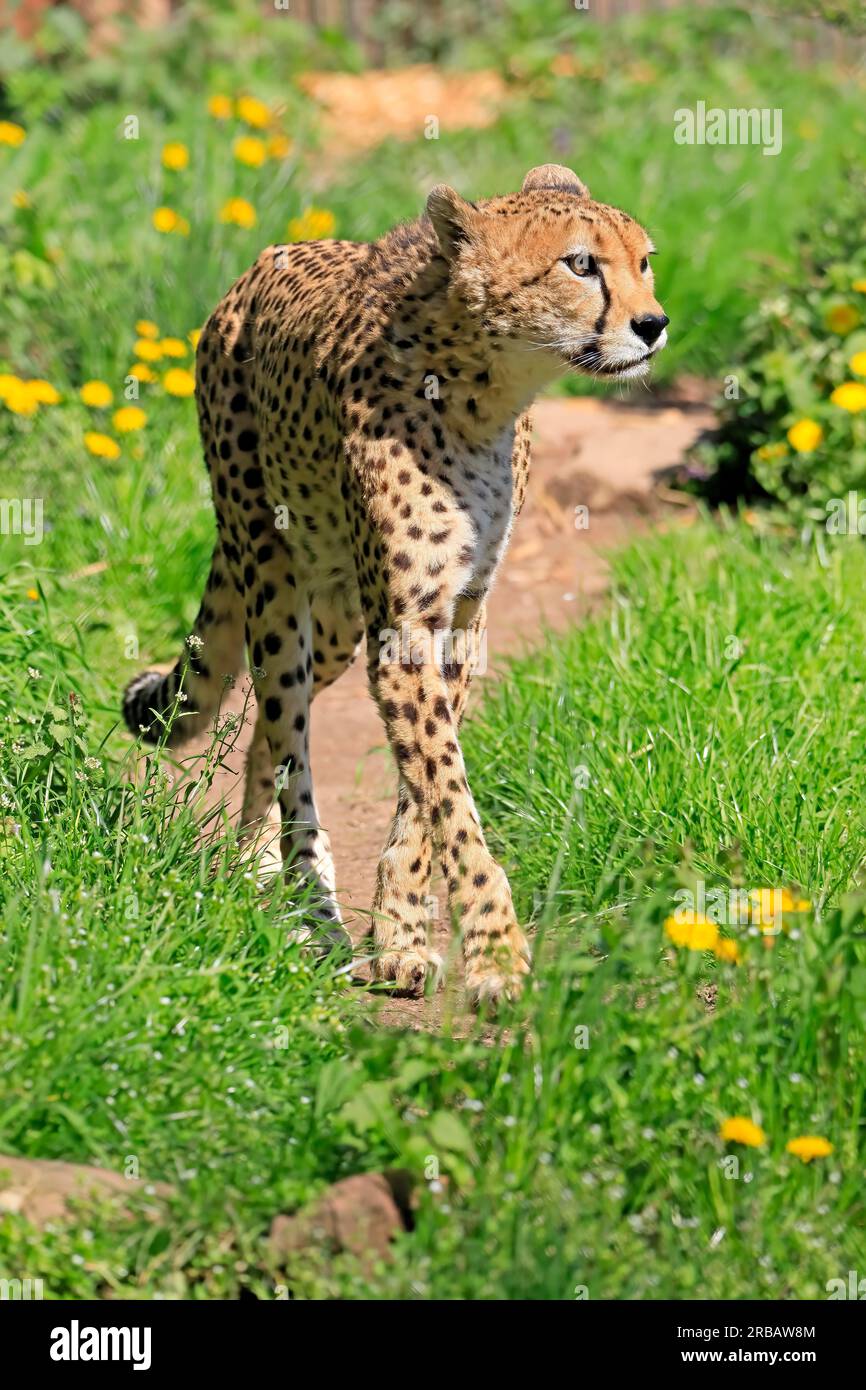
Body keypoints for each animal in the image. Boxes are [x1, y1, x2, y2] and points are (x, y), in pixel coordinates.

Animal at [122, 165, 667, 1000]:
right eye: (580, 265)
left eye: (645, 261)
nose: (654, 324)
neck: (488, 392)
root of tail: (259, 267)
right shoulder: (405, 629)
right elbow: (446, 792)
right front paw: (495, 950)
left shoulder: (461, 618)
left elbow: (424, 790)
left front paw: (404, 932)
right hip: (273, 578)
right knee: (286, 732)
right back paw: (309, 910)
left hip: (337, 618)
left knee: (267, 730)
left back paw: (257, 866)